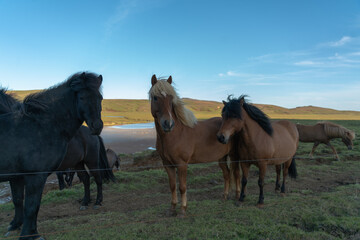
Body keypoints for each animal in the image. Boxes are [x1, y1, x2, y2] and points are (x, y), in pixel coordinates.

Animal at [0, 72, 103, 240]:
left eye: (100, 97)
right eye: (82, 97)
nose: (97, 126)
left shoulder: (28, 176)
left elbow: (30, 206)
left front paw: (28, 233)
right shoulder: (27, 176)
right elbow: (26, 204)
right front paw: (26, 232)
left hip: (90, 161)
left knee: (97, 179)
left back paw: (97, 202)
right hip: (80, 163)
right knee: (88, 179)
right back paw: (86, 202)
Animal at [149, 74, 233, 216]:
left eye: (171, 99)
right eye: (155, 97)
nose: (168, 124)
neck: (175, 134)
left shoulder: (182, 164)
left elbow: (182, 187)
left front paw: (183, 209)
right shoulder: (168, 165)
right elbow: (172, 186)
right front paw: (172, 208)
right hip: (222, 157)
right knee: (227, 174)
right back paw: (225, 196)